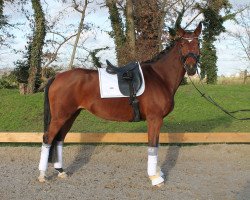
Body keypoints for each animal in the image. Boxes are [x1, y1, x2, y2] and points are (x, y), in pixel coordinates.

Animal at [38, 22, 202, 187]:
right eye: (182, 44)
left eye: (197, 43)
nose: (191, 68)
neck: (159, 77)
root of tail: (57, 76)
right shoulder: (154, 119)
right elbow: (153, 145)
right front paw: (155, 178)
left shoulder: (157, 120)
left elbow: (155, 144)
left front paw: (157, 173)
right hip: (60, 116)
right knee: (48, 138)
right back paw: (42, 175)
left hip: (70, 115)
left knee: (59, 139)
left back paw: (61, 171)